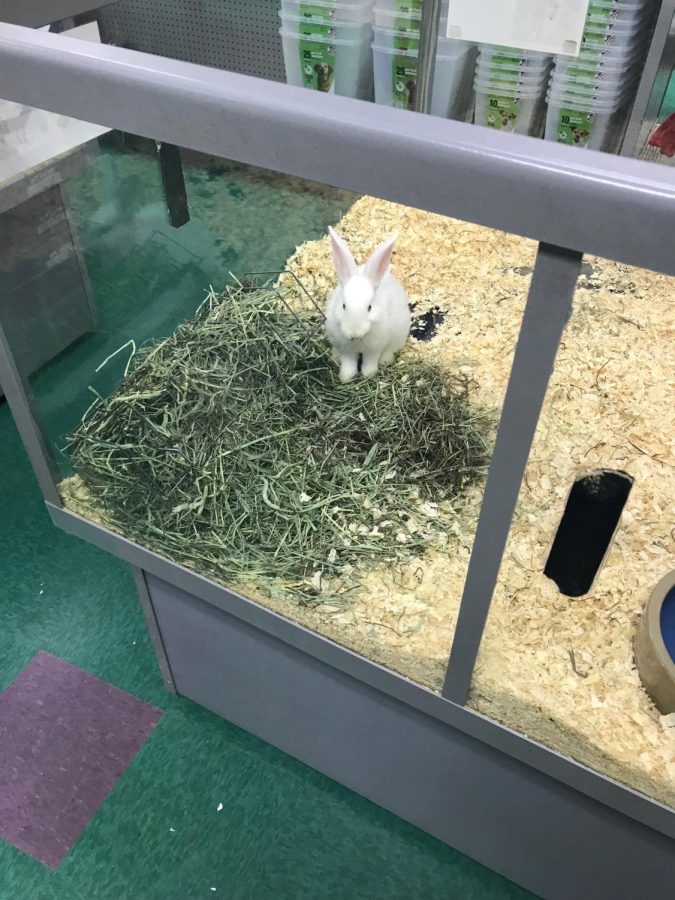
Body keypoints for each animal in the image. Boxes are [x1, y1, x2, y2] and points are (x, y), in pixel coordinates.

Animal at [324, 227, 410, 382]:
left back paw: (385, 361)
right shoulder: (346, 351)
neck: (358, 341)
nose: (354, 332)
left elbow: (369, 363)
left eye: (369, 307)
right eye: (344, 306)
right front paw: (345, 378)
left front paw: (368, 375)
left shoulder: (374, 349)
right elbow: (348, 364)